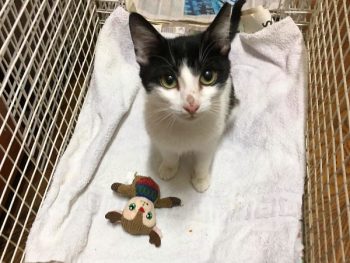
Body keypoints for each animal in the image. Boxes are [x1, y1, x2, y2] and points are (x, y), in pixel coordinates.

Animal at [128, 1, 243, 193]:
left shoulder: (209, 139)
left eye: (208, 76)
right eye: (168, 80)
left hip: (232, 104)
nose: (192, 105)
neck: (185, 129)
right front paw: (168, 167)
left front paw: (201, 178)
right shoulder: (158, 133)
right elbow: (168, 151)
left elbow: (204, 157)